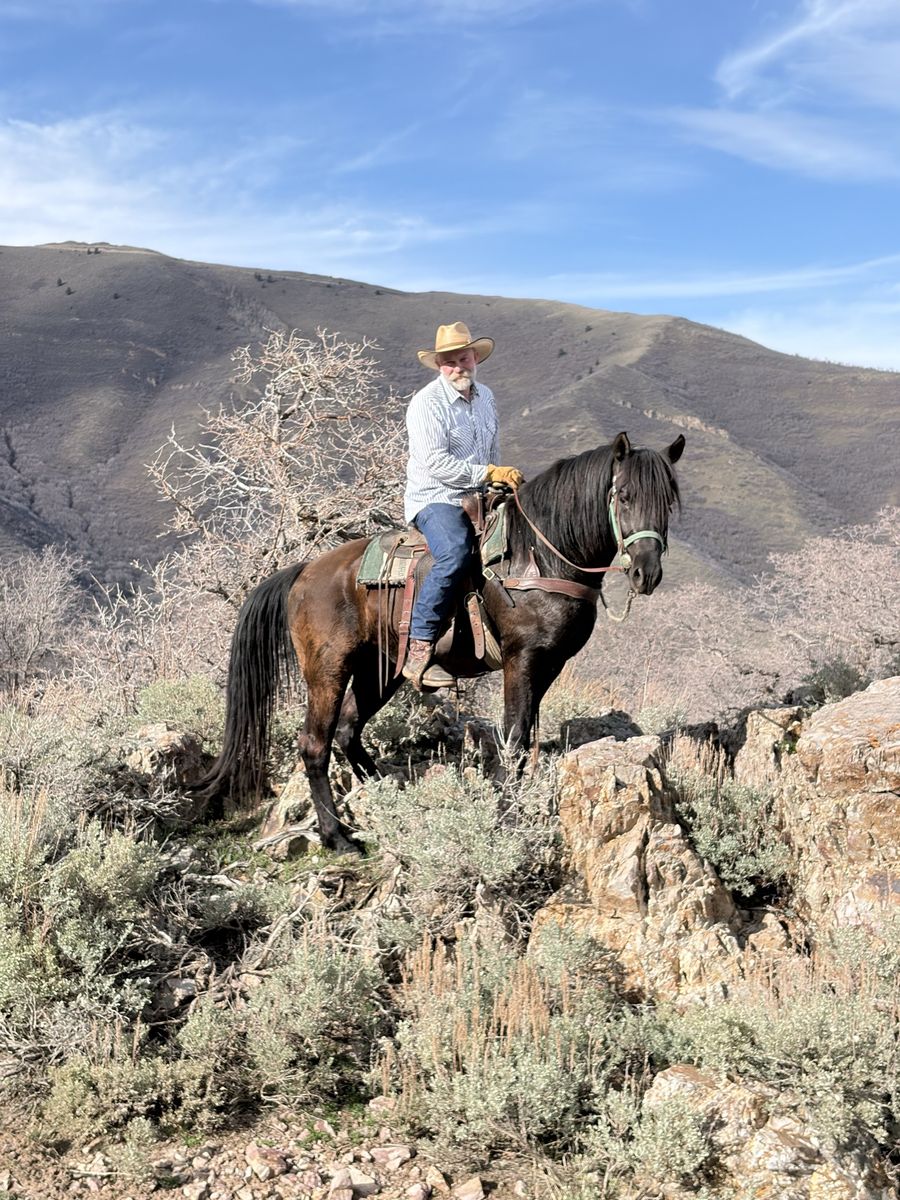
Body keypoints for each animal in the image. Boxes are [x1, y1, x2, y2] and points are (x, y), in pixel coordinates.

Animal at [197, 430, 685, 854]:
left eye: (668, 501)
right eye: (624, 496)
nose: (647, 573)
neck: (538, 555)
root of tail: (304, 572)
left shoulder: (550, 664)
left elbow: (527, 737)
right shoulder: (522, 660)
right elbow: (512, 737)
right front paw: (507, 815)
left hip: (381, 671)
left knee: (350, 729)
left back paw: (388, 798)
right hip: (328, 671)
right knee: (315, 746)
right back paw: (338, 838)